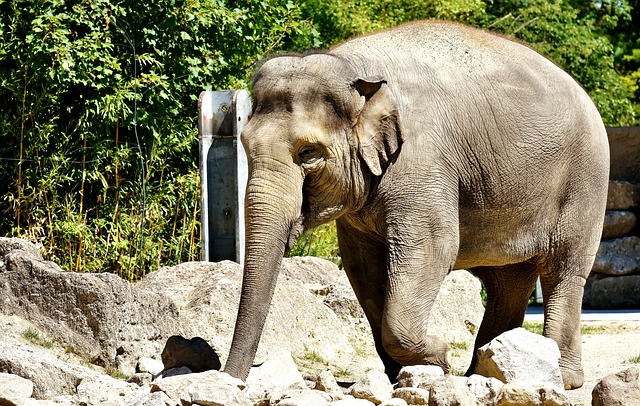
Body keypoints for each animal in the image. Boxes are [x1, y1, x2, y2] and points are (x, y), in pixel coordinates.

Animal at [222, 19, 608, 390]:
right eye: (245, 144)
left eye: (308, 153)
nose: (232, 379)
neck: (352, 70)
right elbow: (361, 265)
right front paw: (404, 374)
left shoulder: (422, 163)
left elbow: (433, 246)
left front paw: (439, 359)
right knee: (507, 279)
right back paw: (483, 371)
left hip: (584, 181)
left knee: (564, 269)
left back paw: (561, 378)